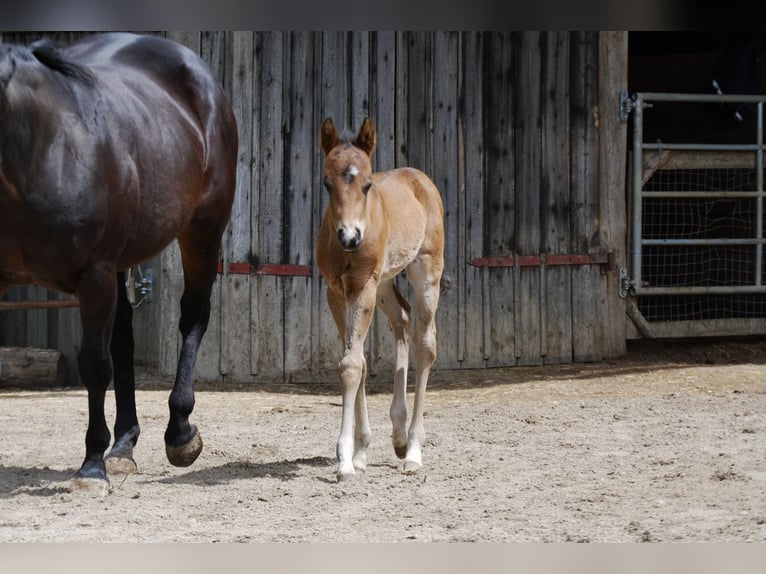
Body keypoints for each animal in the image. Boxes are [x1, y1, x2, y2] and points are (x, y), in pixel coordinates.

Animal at [0, 33, 238, 489]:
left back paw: (180, 433)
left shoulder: (94, 274)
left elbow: (94, 364)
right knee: (124, 338)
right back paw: (124, 446)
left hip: (201, 230)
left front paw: (92, 467)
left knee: (192, 318)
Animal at [316, 117, 445, 482]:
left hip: (426, 272)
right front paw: (358, 453)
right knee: (402, 318)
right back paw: (398, 437)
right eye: (327, 184)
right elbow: (356, 362)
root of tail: (420, 179)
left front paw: (345, 461)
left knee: (425, 344)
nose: (349, 237)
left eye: (367, 184)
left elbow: (351, 365)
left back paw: (413, 450)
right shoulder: (337, 292)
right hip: (385, 282)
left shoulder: (362, 288)